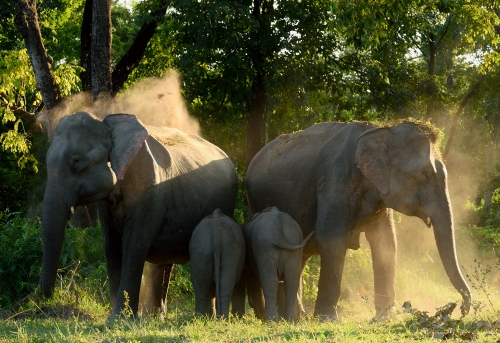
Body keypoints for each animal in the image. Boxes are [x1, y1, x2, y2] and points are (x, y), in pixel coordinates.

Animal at [38, 112, 237, 322]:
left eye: (76, 162)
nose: (50, 294)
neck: (107, 125)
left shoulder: (150, 192)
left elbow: (134, 245)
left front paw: (120, 319)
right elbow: (111, 246)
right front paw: (115, 318)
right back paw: (156, 317)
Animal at [246, 120, 472, 320]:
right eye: (424, 173)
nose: (462, 309)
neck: (382, 130)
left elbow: (386, 242)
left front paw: (385, 318)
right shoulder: (334, 179)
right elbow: (331, 239)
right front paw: (328, 319)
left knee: (301, 256)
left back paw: (299, 316)